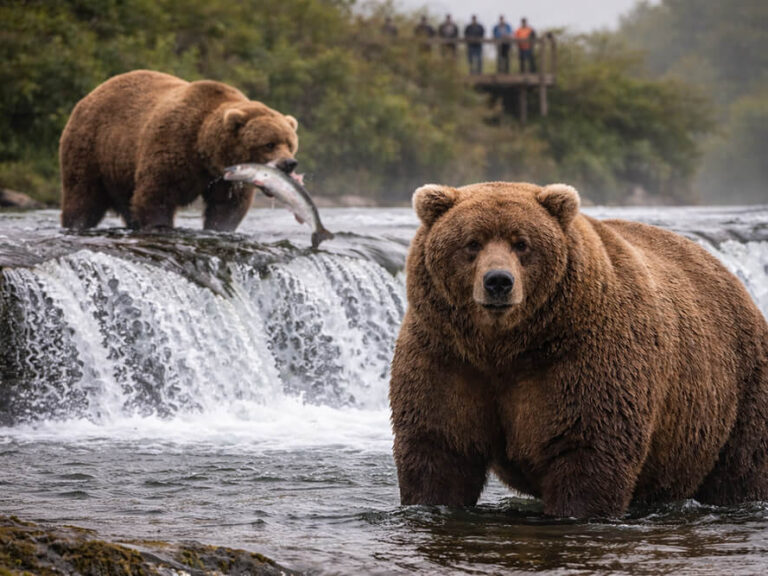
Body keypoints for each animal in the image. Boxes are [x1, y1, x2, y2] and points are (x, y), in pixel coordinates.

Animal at [59, 70, 299, 231]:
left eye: (290, 144)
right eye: (269, 144)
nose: (289, 163)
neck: (205, 151)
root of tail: (90, 94)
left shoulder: (227, 179)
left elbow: (227, 206)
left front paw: (218, 228)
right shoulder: (173, 143)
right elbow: (156, 194)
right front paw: (160, 226)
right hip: (92, 147)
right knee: (83, 196)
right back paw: (76, 223)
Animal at [390, 181, 768, 518]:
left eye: (522, 243)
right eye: (472, 243)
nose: (498, 281)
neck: (503, 347)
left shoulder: (580, 358)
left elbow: (586, 447)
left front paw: (574, 511)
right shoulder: (446, 356)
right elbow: (439, 447)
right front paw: (431, 500)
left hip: (738, 391)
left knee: (742, 468)